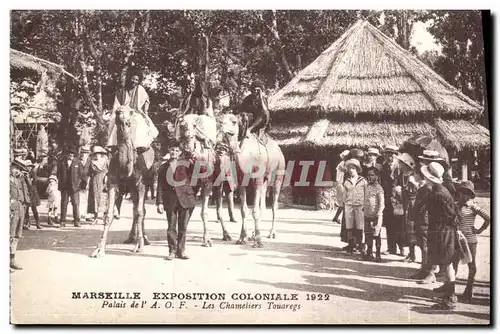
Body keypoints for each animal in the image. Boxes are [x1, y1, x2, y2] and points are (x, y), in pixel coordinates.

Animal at [90, 105, 155, 258]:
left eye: (131, 112)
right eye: (117, 111)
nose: (124, 120)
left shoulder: (141, 183)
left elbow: (140, 212)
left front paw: (139, 246)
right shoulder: (112, 182)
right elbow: (108, 215)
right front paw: (99, 249)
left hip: (144, 184)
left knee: (140, 210)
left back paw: (143, 239)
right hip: (130, 187)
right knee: (134, 208)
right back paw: (131, 237)